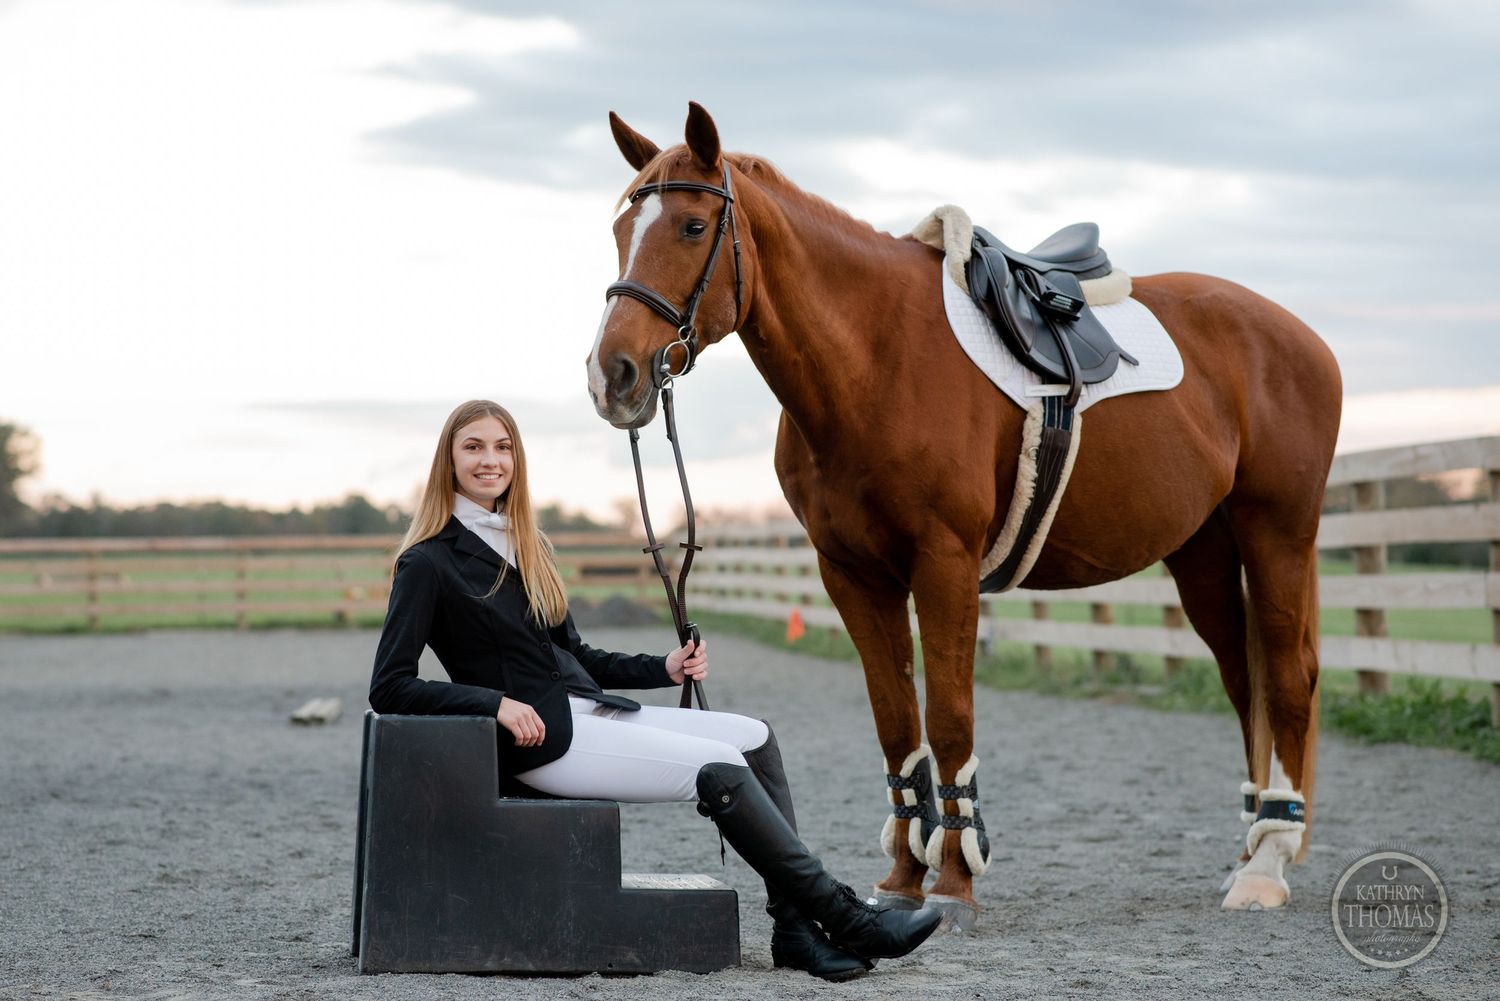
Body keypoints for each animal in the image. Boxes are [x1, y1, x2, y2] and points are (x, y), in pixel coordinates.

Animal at [586, 102, 1341, 927]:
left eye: (693, 227)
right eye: (622, 229)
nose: (612, 375)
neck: (875, 355)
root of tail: (1298, 335)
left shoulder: (943, 563)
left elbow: (948, 716)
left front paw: (953, 875)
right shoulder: (853, 574)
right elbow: (895, 721)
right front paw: (902, 874)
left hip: (1276, 532)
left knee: (1289, 677)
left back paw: (1267, 862)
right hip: (1203, 552)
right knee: (1246, 680)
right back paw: (1254, 841)